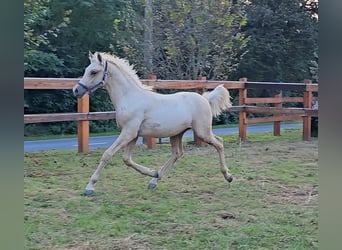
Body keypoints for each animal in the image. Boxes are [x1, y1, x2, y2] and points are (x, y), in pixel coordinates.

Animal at [73, 52, 234, 195]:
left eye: (93, 72)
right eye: (86, 70)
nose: (76, 90)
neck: (129, 98)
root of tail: (205, 99)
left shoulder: (129, 132)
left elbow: (107, 154)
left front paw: (89, 187)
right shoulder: (133, 135)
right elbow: (127, 159)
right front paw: (153, 172)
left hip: (202, 131)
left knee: (219, 143)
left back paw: (228, 176)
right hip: (177, 133)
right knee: (177, 153)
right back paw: (154, 180)